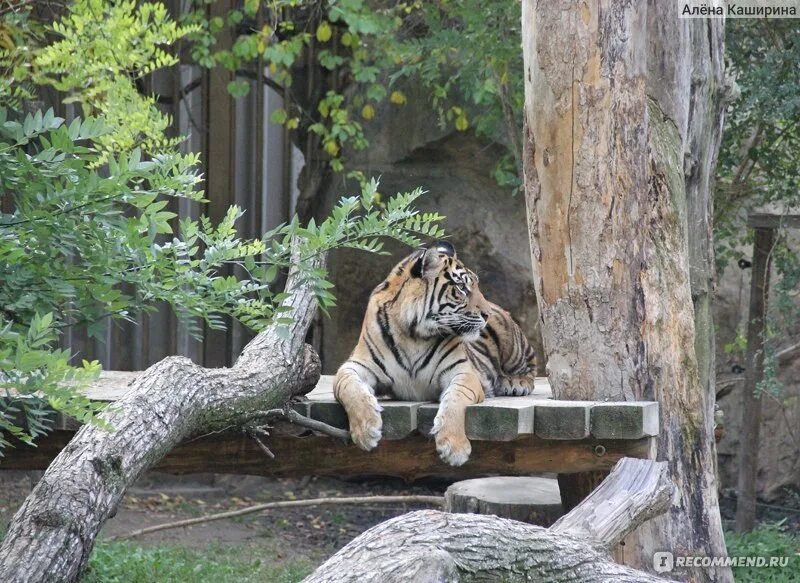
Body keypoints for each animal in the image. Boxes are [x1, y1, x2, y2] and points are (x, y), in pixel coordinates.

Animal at [332, 241, 536, 466]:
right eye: (461, 287)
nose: (487, 314)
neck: (412, 335)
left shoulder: (463, 373)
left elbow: (456, 399)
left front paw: (454, 447)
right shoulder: (356, 366)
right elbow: (349, 388)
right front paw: (366, 430)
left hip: (513, 343)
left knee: (530, 366)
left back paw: (515, 383)